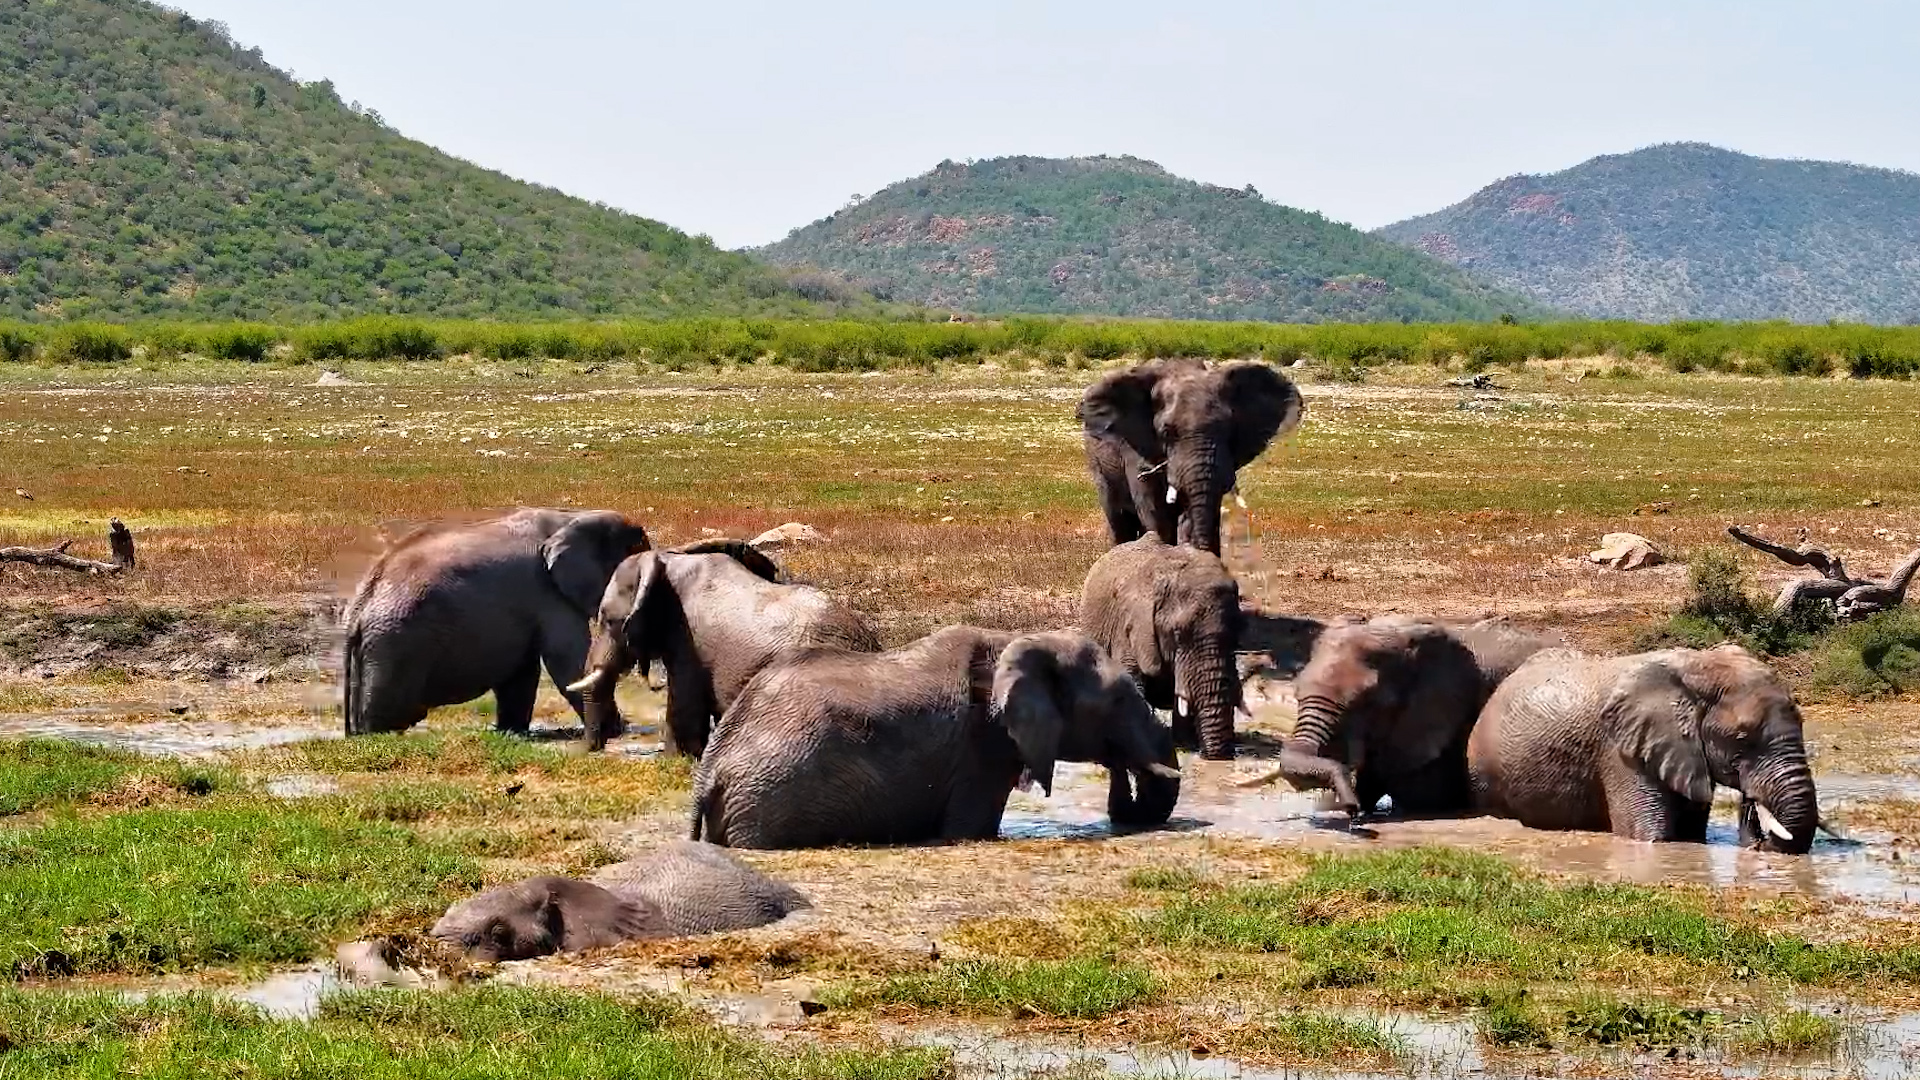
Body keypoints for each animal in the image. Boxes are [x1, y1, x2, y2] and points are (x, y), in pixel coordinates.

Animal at [342, 508, 650, 737]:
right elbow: (567, 661)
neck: (572, 517)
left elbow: (523, 671)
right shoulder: (547, 593)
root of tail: (358, 609)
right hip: (396, 644)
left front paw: (511, 732)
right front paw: (616, 731)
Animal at [565, 539, 881, 755]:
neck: (668, 560)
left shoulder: (689, 640)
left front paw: (674, 759)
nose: (592, 749)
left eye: (609, 621)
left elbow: (684, 702)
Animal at [689, 627, 1182, 849]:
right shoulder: (981, 750)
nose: (1120, 767)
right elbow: (971, 829)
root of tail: (709, 771)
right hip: (765, 802)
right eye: (1117, 700)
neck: (1017, 642)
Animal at [1467, 643, 1823, 853]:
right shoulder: (1621, 751)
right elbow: (1652, 835)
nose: (1751, 800)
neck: (1697, 666)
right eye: (1742, 738)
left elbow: (1692, 831)